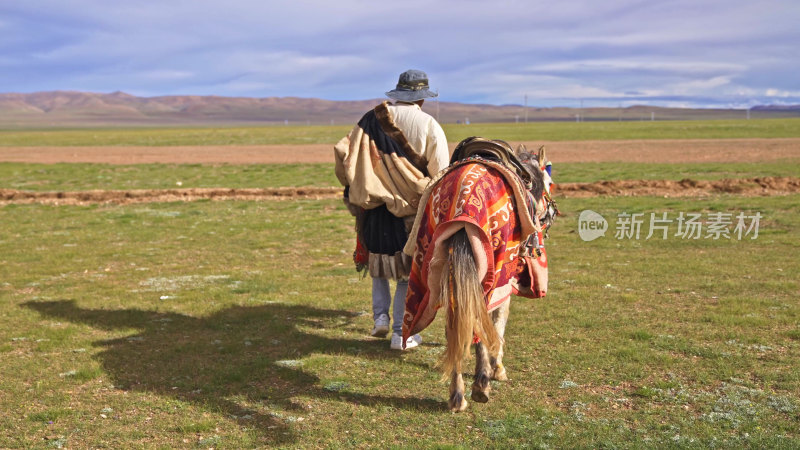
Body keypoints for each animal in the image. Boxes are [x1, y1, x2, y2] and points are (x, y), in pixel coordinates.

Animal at [404, 136, 552, 412]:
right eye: (549, 182)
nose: (550, 214)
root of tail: (463, 201)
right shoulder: (505, 282)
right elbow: (497, 324)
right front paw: (497, 369)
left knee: (455, 327)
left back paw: (457, 396)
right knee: (477, 324)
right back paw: (480, 385)